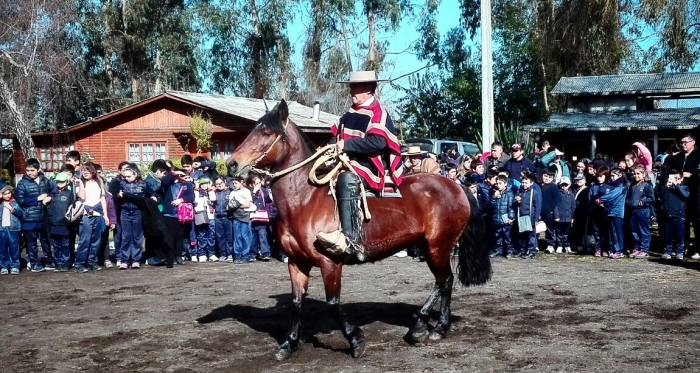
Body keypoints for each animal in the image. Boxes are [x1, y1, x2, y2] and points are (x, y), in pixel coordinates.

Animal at [227, 100, 490, 358]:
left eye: (266, 132)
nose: (231, 164)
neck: (304, 200)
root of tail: (456, 186)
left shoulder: (330, 263)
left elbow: (333, 305)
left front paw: (355, 340)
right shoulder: (296, 262)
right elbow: (296, 304)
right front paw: (288, 344)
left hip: (438, 247)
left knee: (444, 281)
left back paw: (426, 326)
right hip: (429, 247)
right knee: (444, 282)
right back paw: (433, 326)